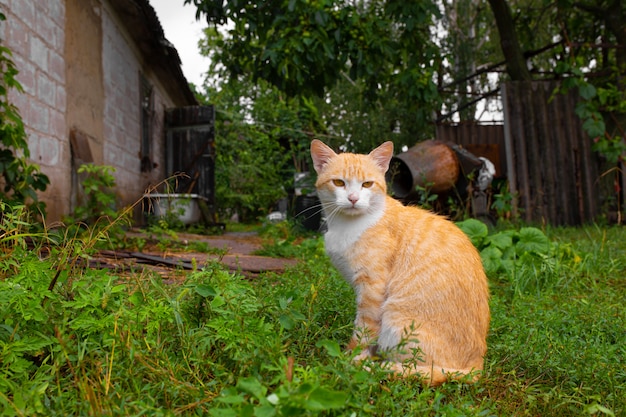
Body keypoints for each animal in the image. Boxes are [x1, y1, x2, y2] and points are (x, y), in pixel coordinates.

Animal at [310, 141, 490, 386]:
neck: (347, 226)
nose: (353, 198)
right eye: (339, 182)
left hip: (396, 322)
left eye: (367, 184)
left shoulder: (372, 288)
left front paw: (351, 359)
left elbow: (363, 330)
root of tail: (477, 365)